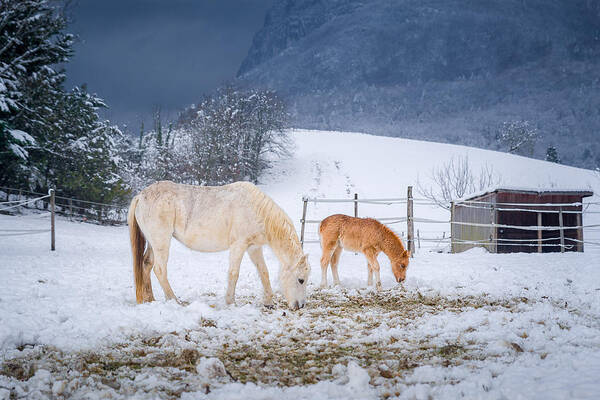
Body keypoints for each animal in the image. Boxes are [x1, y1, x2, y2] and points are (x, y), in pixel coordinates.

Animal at [126, 180, 310, 310]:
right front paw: (230, 302)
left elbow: (263, 272)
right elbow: (234, 274)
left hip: (153, 243)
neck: (256, 210)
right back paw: (174, 301)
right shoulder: (238, 245)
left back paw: (150, 300)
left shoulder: (253, 248)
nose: (300, 306)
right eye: (300, 280)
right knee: (159, 269)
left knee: (146, 264)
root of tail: (140, 196)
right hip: (161, 242)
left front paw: (268, 302)